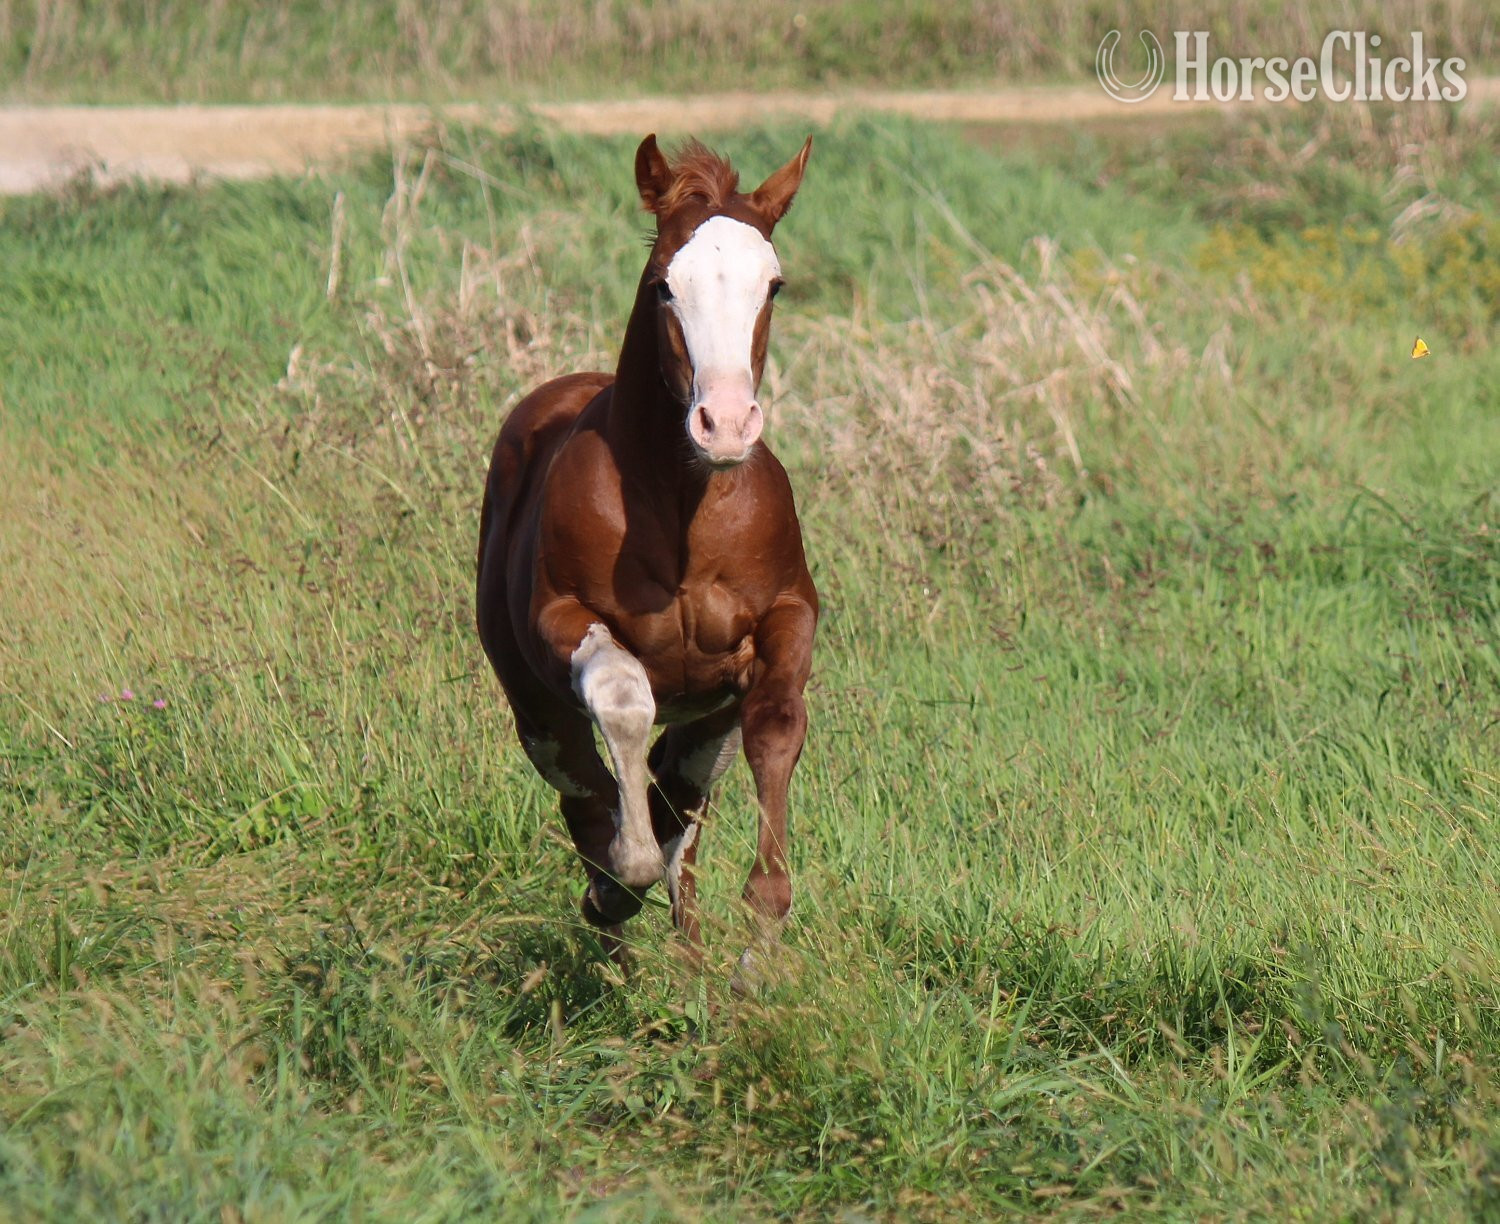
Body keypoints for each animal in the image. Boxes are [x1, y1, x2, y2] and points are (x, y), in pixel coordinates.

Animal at [475, 134, 818, 972]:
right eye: (665, 285)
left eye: (774, 284)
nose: (725, 423)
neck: (685, 511)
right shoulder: (561, 617)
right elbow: (625, 700)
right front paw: (620, 871)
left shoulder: (786, 619)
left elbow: (777, 726)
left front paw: (761, 944)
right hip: (534, 708)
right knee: (582, 783)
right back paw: (610, 901)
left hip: (707, 722)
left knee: (680, 805)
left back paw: (687, 952)